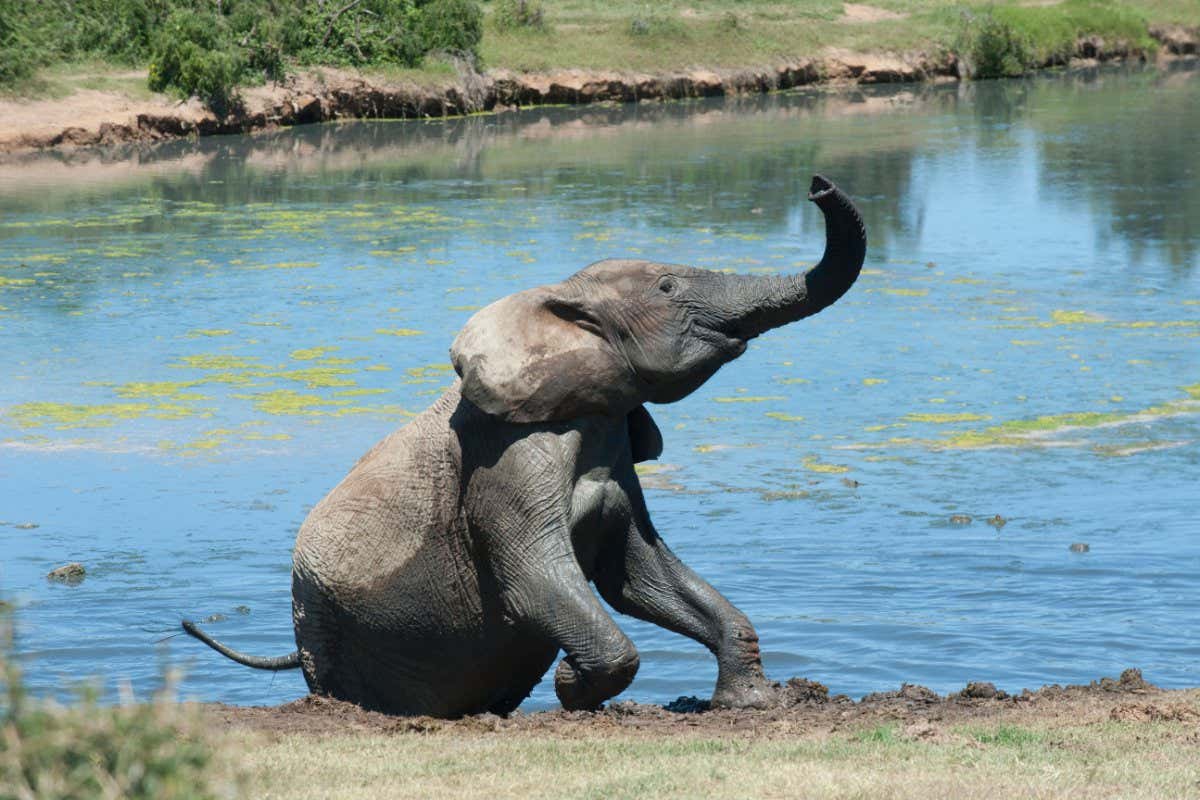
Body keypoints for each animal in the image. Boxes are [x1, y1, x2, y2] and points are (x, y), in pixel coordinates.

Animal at [183, 174, 866, 718]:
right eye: (669, 288)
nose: (818, 184)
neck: (555, 306)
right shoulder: (508, 459)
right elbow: (537, 577)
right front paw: (571, 687)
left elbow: (638, 573)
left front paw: (746, 705)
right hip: (319, 618)